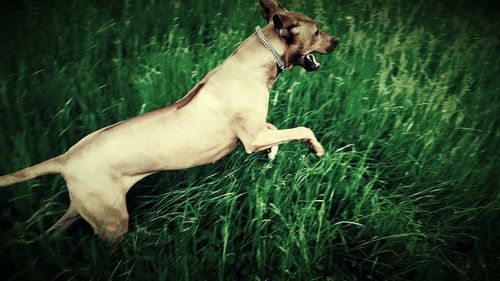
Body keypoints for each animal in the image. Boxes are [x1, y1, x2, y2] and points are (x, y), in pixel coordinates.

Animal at [0, 0, 338, 241]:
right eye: (317, 31)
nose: (336, 40)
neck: (255, 63)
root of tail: (66, 158)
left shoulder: (258, 131)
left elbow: (275, 129)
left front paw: (274, 153)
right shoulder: (251, 138)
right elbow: (301, 128)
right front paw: (316, 149)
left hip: (81, 209)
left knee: (51, 233)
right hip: (112, 222)